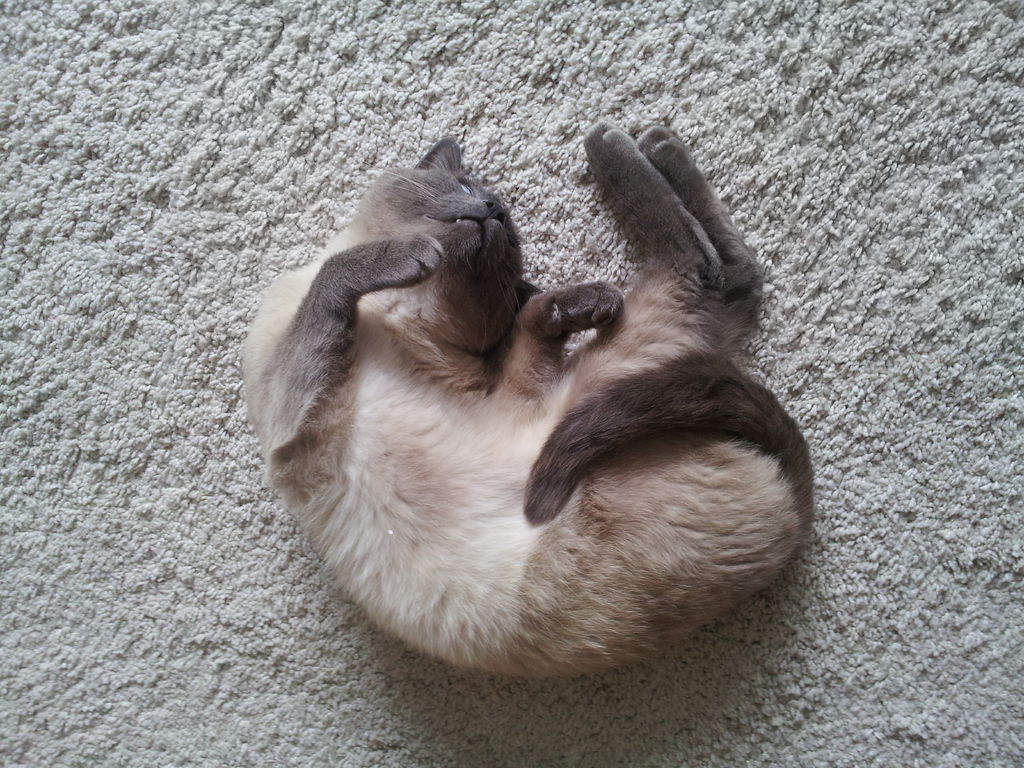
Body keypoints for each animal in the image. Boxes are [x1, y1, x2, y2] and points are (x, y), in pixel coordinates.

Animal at [241, 122, 813, 677]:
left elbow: (341, 276)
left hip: (597, 387)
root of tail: (795, 510)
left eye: (506, 229)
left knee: (707, 270)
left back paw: (627, 141)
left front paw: (574, 302)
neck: (395, 318)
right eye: (465, 189)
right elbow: (339, 274)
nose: (492, 208)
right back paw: (641, 142)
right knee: (723, 277)